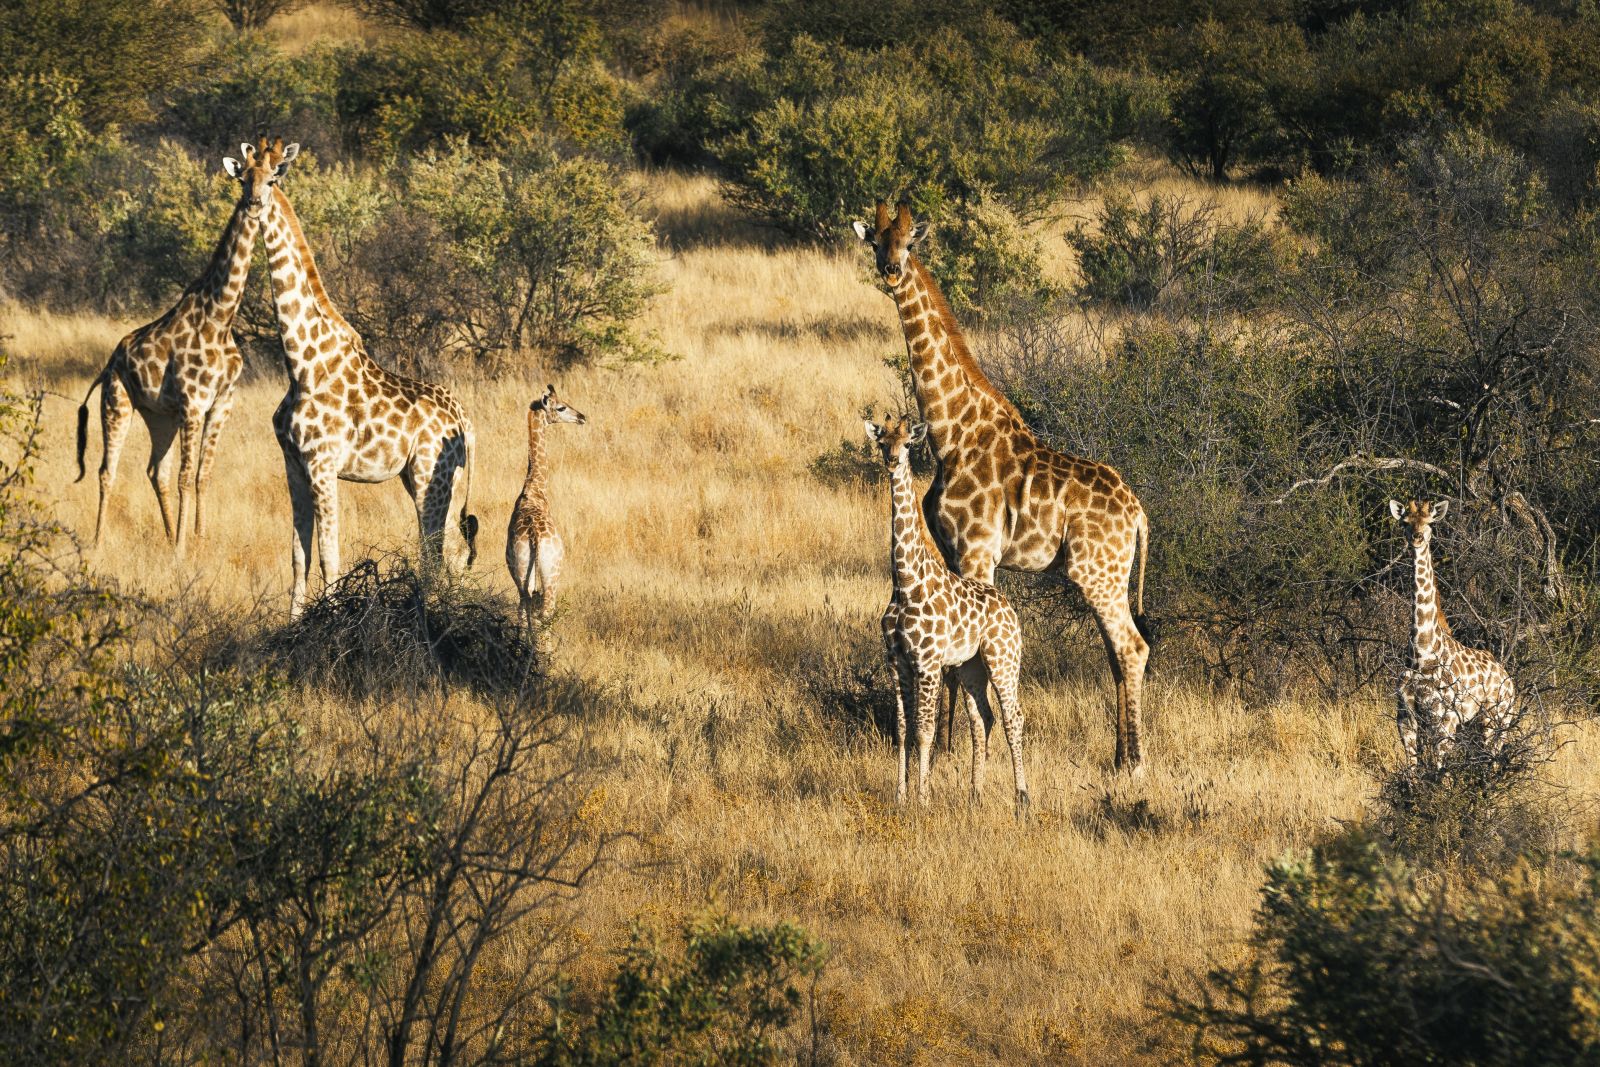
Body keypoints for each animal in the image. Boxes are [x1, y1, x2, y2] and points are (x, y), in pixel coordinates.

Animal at [74, 140, 266, 554]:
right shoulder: (193, 403)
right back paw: (98, 542)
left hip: (158, 415)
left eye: (272, 177)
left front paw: (198, 540)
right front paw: (182, 549)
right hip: (117, 403)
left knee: (154, 470)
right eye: (243, 177)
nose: (255, 201)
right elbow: (185, 475)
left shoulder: (222, 402)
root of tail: (108, 365)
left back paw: (163, 535)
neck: (221, 316)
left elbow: (202, 474)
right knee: (107, 471)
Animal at [253, 137, 479, 617]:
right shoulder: (293, 463)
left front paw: (330, 618)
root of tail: (464, 420)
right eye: (243, 175)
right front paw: (294, 623)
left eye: (274, 176)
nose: (253, 202)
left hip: (430, 474)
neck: (301, 364)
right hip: (437, 479)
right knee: (451, 551)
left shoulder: (322, 464)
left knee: (435, 551)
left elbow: (329, 554)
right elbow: (298, 555)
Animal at [507, 384, 586, 637]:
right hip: (552, 574)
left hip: (523, 574)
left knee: (525, 611)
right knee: (544, 613)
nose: (582, 417)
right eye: (561, 407)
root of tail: (535, 539)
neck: (534, 488)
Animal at [870, 416, 1029, 810]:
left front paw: (923, 799)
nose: (892, 461)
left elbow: (925, 730)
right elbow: (902, 729)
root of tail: (1010, 609)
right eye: (881, 442)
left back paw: (1022, 797)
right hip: (970, 666)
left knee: (1013, 717)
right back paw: (976, 794)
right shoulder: (896, 661)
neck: (905, 581)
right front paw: (901, 797)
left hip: (1003, 658)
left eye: (908, 444)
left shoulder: (927, 663)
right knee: (983, 717)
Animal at [1391, 499, 1516, 766]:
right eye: (1405, 522)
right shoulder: (1405, 717)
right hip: (1480, 721)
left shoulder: (1444, 718)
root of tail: (1509, 679)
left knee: (1492, 757)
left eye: (1429, 522)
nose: (1416, 538)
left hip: (1498, 716)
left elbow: (1441, 769)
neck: (1421, 651)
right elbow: (1412, 768)